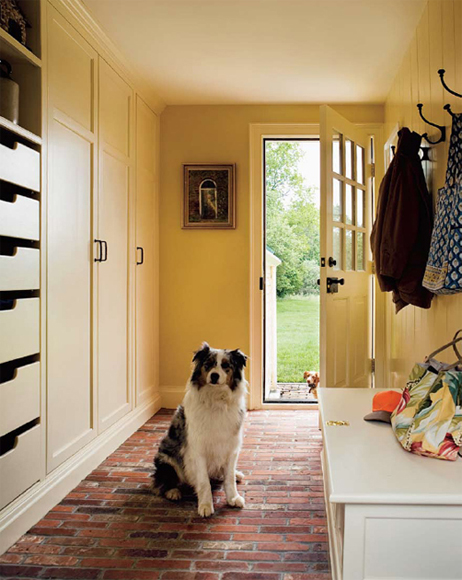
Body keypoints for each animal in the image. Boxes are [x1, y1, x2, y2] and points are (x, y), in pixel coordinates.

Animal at [152, 340, 247, 516]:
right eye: (208, 364)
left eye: (225, 365)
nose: (214, 376)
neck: (216, 399)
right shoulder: (198, 450)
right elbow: (204, 482)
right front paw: (205, 506)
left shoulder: (231, 447)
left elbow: (229, 478)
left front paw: (233, 498)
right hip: (166, 458)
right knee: (161, 482)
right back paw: (173, 491)